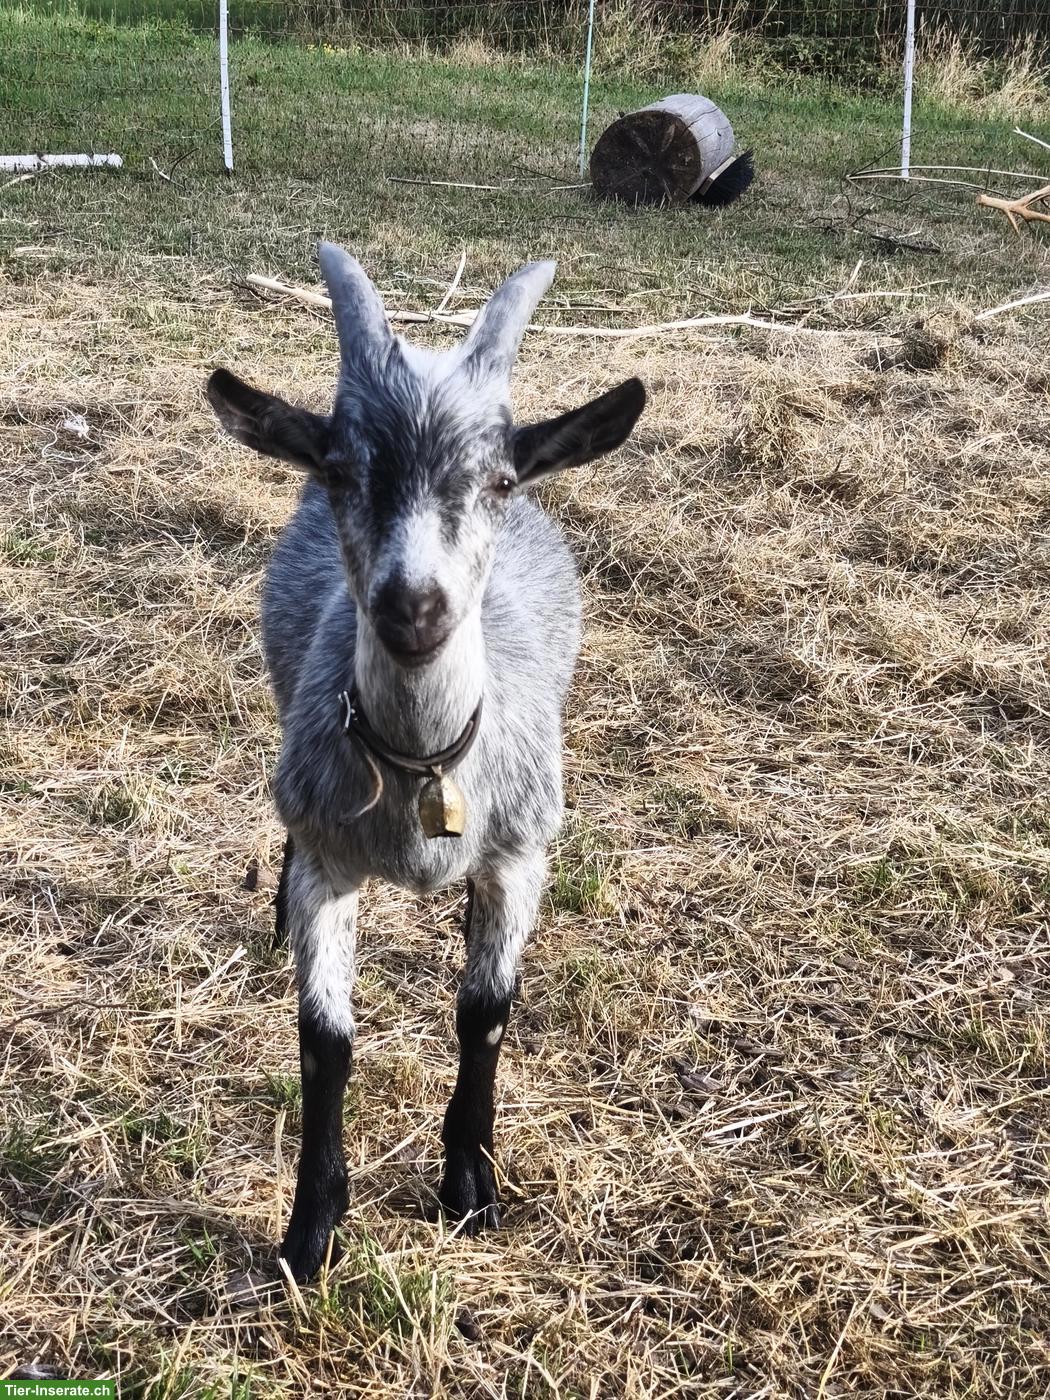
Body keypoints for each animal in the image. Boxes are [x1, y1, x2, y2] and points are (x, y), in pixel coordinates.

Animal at [207, 242, 645, 1281]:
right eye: (338, 468)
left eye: (500, 480)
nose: (413, 606)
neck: (420, 767)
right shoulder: (331, 858)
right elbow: (324, 1040)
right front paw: (312, 1230)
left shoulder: (522, 853)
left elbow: (484, 1011)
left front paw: (470, 1185)